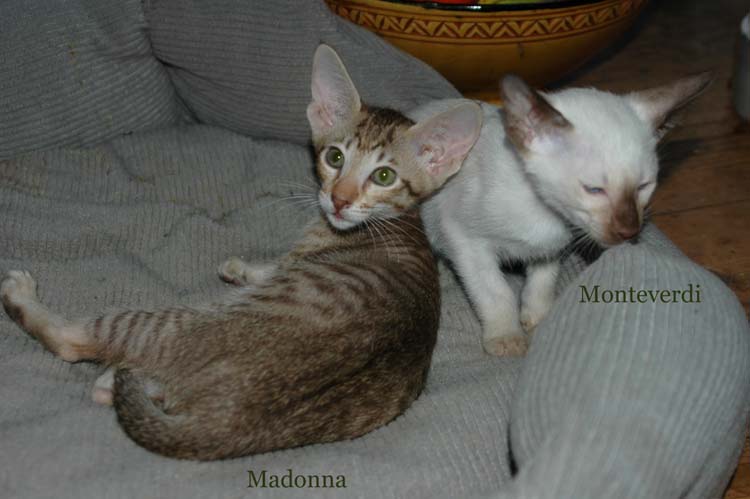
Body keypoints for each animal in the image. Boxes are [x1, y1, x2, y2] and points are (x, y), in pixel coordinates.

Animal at [0, 45, 482, 460]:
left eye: (383, 176)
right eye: (334, 157)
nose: (339, 200)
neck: (395, 221)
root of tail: (233, 419)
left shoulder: (299, 256)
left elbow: (276, 268)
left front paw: (246, 269)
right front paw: (244, 267)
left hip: (164, 322)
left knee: (73, 341)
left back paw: (25, 298)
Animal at [410, 72, 711, 357]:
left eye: (644, 186)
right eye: (594, 189)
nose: (629, 232)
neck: (546, 215)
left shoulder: (551, 248)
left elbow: (542, 282)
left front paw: (538, 319)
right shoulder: (465, 240)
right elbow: (495, 292)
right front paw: (507, 337)